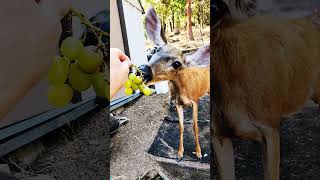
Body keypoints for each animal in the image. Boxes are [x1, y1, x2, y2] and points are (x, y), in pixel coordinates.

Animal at [139, 7, 210, 162]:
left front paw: (199, 153)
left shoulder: (195, 101)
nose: (144, 70)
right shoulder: (177, 103)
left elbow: (195, 126)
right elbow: (181, 126)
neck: (184, 91)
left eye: (177, 64)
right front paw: (179, 154)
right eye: (154, 50)